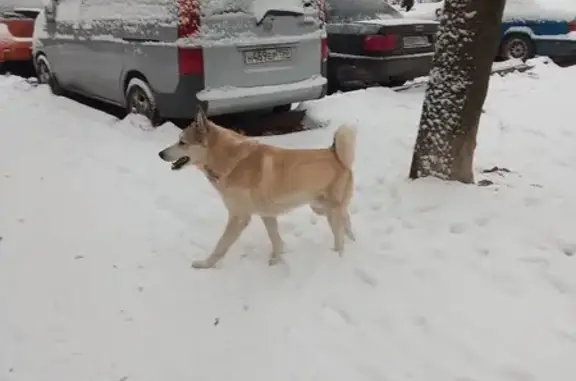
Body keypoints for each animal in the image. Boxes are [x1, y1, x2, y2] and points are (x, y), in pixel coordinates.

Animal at [158, 105, 356, 268]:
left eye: (182, 142)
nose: (160, 154)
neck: (229, 161)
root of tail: (336, 154)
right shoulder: (266, 214)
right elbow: (275, 239)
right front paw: (276, 260)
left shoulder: (239, 217)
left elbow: (221, 245)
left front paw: (205, 264)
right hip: (320, 207)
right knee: (346, 221)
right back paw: (352, 243)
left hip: (329, 210)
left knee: (340, 236)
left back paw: (338, 257)